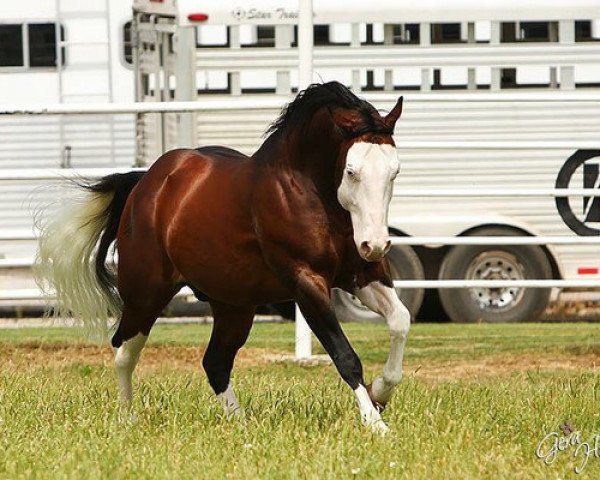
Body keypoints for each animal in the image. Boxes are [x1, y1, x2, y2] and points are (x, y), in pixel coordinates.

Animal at [37, 80, 410, 434]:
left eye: (394, 172)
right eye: (351, 172)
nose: (375, 244)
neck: (305, 191)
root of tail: (147, 184)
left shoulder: (362, 274)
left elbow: (400, 320)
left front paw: (381, 393)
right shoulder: (306, 282)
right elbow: (345, 356)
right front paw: (375, 424)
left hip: (233, 305)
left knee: (214, 362)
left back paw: (241, 425)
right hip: (146, 293)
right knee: (124, 350)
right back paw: (127, 419)